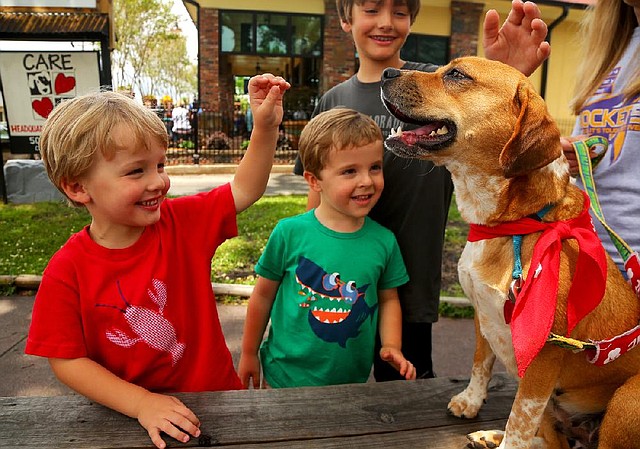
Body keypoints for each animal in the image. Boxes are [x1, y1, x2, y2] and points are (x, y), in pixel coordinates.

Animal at [380, 57, 640, 448]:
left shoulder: (543, 357)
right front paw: (471, 402)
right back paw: (490, 435)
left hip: (625, 400)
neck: (511, 223)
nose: (386, 73)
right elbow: (480, 364)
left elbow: (520, 418)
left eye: (456, 74)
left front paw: (504, 434)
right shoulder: (482, 316)